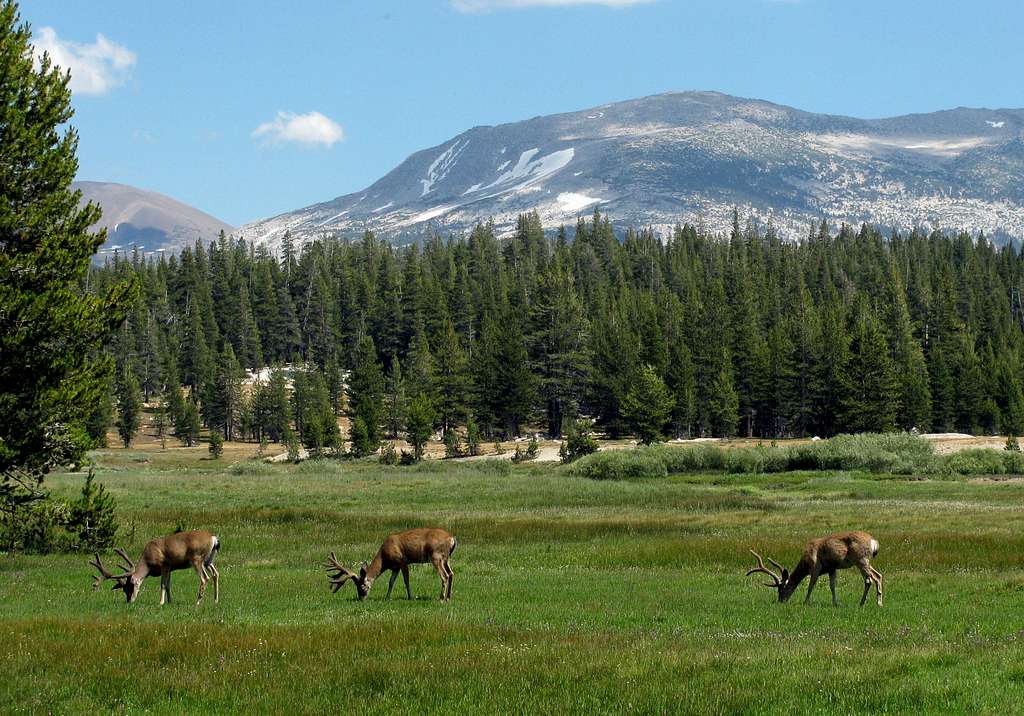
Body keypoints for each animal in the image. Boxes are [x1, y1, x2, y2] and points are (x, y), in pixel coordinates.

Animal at [91, 532, 221, 606]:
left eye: (128, 588)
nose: (129, 601)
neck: (147, 561)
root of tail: (214, 538)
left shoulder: (164, 565)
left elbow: (162, 584)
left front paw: (161, 602)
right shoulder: (170, 568)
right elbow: (168, 585)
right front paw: (170, 601)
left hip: (197, 559)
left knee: (204, 578)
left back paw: (197, 602)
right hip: (208, 560)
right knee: (216, 574)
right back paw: (215, 600)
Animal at [325, 528, 458, 602]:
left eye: (362, 586)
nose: (361, 599)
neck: (384, 558)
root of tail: (452, 538)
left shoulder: (402, 561)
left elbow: (406, 580)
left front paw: (410, 597)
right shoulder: (395, 567)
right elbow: (391, 582)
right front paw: (387, 597)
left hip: (436, 556)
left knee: (444, 575)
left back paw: (441, 598)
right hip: (446, 558)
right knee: (451, 573)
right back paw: (449, 597)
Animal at [745, 528, 880, 606]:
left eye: (781, 590)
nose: (780, 601)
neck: (805, 563)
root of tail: (874, 542)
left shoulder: (815, 567)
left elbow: (810, 586)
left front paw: (805, 602)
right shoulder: (832, 569)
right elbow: (832, 586)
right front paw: (835, 603)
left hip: (861, 559)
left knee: (869, 579)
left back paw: (862, 603)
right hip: (866, 562)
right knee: (878, 576)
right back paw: (878, 603)